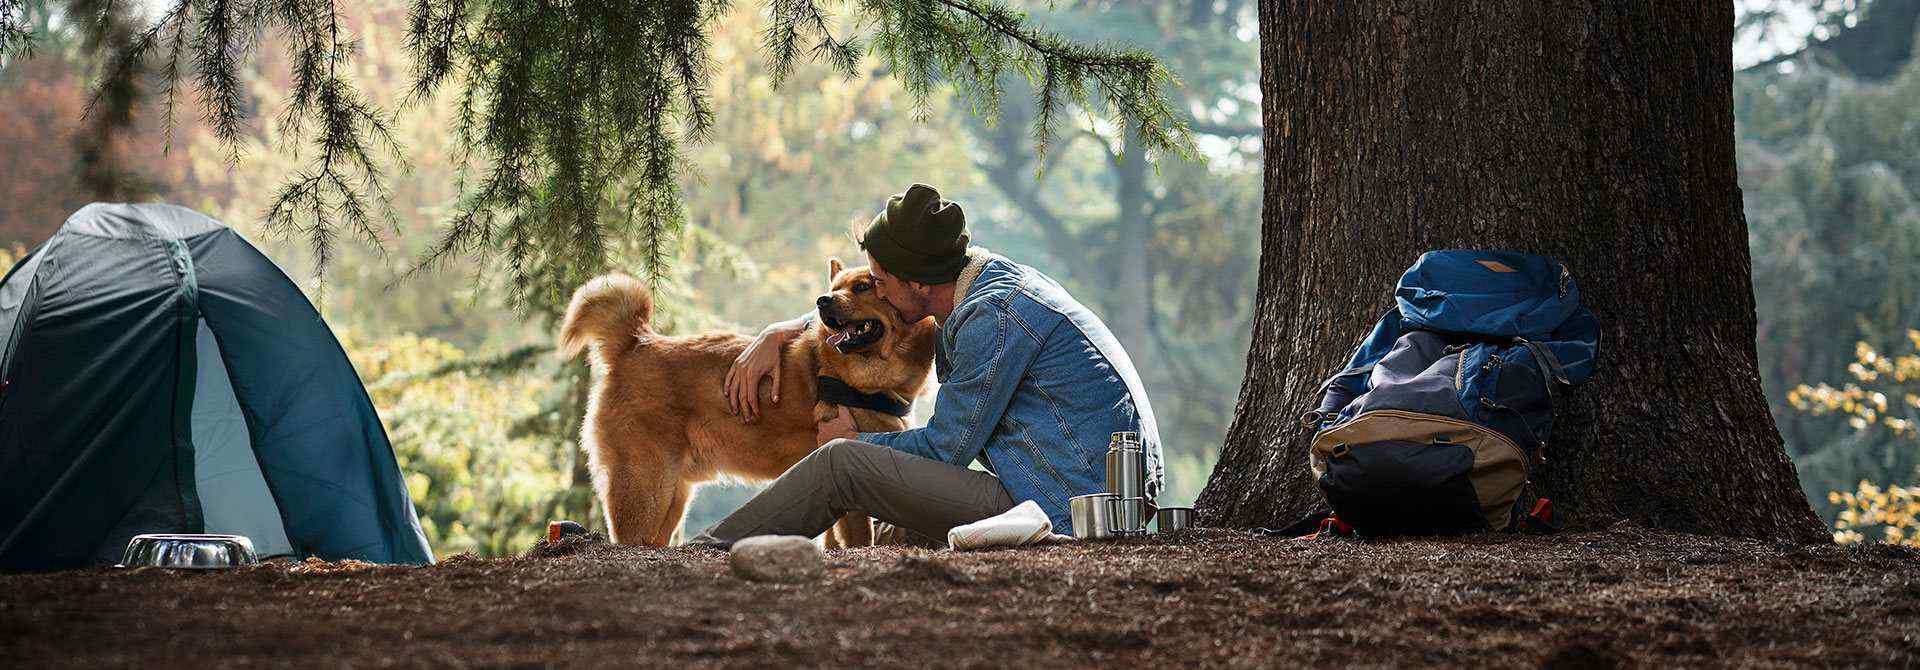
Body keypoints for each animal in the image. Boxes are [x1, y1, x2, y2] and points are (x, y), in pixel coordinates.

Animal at [556, 259, 936, 545]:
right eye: (838, 286)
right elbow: (859, 537)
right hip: (646, 487)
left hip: (674, 496)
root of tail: (636, 343)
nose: (822, 301)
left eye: (863, 287)